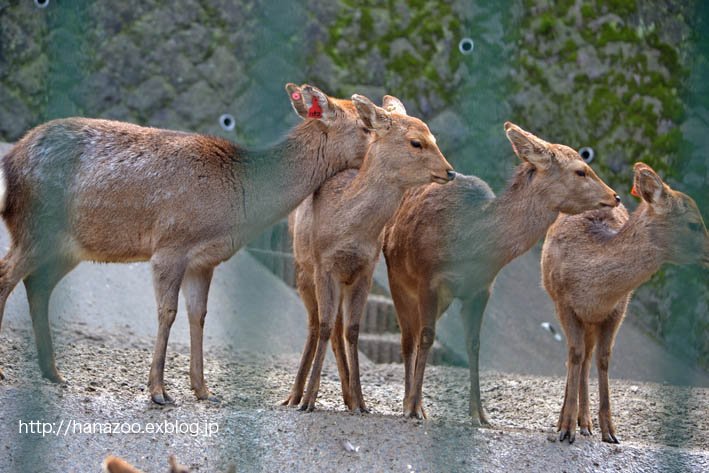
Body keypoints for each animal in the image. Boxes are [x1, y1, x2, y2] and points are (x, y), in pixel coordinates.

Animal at [0, 83, 376, 404]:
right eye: (365, 125)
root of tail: (11, 160)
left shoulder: (204, 260)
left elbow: (199, 315)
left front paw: (203, 389)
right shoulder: (171, 244)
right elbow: (168, 312)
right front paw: (158, 391)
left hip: (67, 246)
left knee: (37, 285)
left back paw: (54, 373)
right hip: (35, 227)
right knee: (7, 276)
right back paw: (9, 370)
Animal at [282, 94, 454, 412]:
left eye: (434, 138)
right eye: (416, 142)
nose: (450, 171)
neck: (349, 230)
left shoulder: (366, 268)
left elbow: (352, 330)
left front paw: (361, 402)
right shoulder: (323, 265)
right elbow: (324, 326)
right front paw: (309, 400)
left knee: (337, 326)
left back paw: (347, 397)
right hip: (301, 269)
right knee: (314, 324)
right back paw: (294, 395)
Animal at [382, 121, 620, 420]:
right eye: (581, 170)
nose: (615, 195)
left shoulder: (482, 289)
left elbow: (474, 344)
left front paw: (480, 414)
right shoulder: (429, 279)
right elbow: (426, 337)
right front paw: (413, 407)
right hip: (398, 280)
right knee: (408, 337)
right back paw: (410, 404)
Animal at [540, 162, 704, 442]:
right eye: (694, 224)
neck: (594, 291)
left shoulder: (617, 310)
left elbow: (603, 359)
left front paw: (609, 431)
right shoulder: (564, 302)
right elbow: (574, 354)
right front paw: (565, 428)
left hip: (592, 321)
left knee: (587, 357)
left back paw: (586, 423)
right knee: (577, 356)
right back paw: (569, 421)